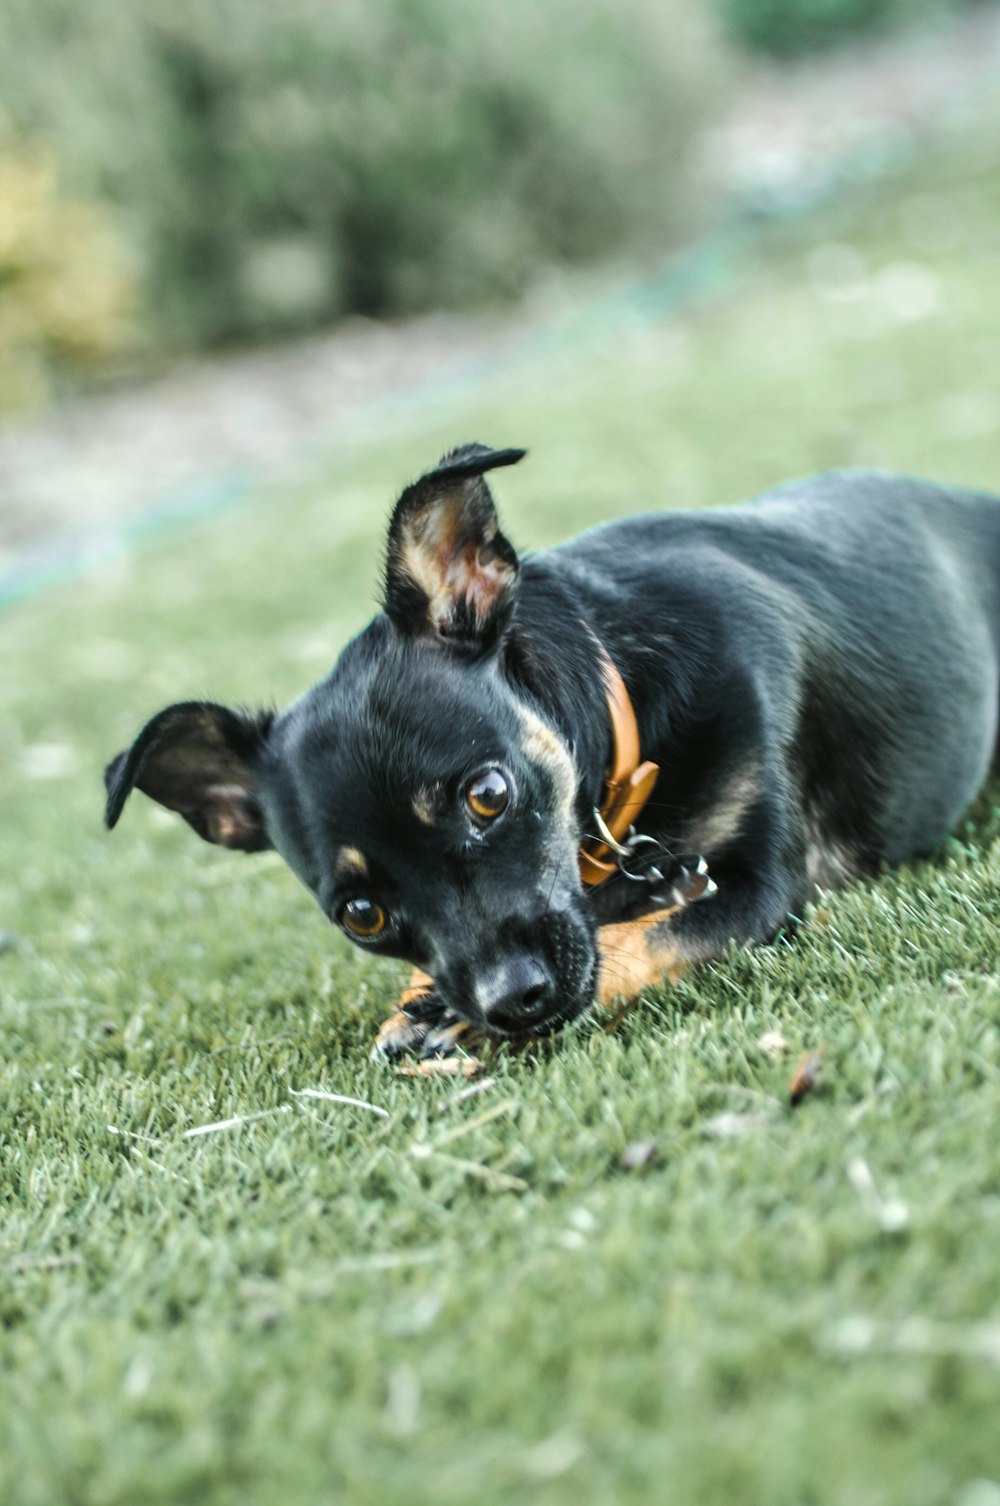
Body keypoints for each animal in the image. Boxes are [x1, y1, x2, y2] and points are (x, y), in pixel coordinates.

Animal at [103, 445, 1000, 1060]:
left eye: (489, 796)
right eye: (362, 916)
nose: (511, 1002)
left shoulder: (764, 890)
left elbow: (641, 939)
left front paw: (456, 1016)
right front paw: (423, 1000)